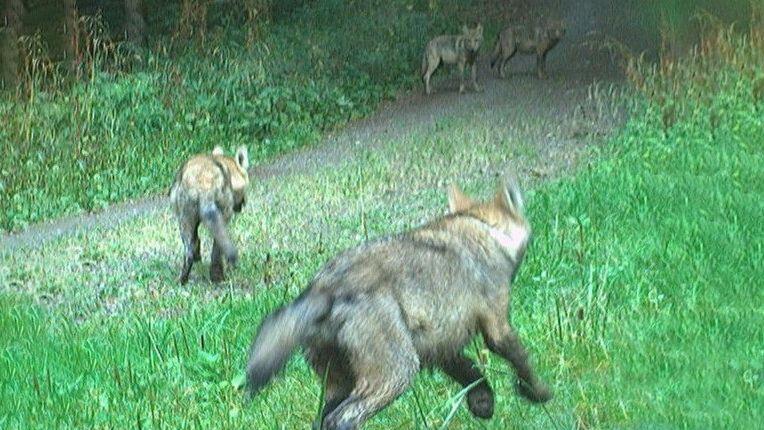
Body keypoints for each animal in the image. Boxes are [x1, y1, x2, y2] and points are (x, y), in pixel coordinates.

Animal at [169, 146, 249, 284]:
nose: (242, 205)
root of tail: (204, 182)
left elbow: (196, 241)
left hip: (186, 220)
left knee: (189, 252)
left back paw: (183, 279)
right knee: (214, 250)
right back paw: (216, 276)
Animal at [248, 179, 552, 430]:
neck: (483, 228)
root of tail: (323, 289)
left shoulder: (442, 349)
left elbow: (474, 377)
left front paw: (483, 405)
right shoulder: (497, 329)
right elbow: (522, 363)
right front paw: (540, 394)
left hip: (342, 385)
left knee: (321, 420)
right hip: (398, 374)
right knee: (342, 419)